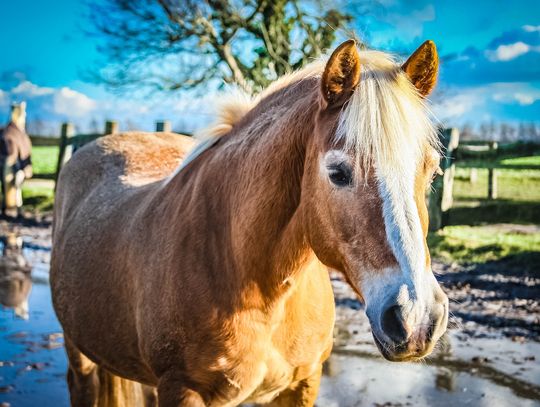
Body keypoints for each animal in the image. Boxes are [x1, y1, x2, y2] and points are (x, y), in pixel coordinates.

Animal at [50, 40, 450, 407]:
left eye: (433, 170)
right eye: (338, 173)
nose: (416, 318)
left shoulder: (304, 383)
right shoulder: (182, 390)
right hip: (79, 356)